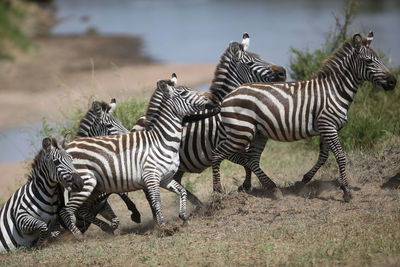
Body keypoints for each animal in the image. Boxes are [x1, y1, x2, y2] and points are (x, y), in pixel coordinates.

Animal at [59, 79, 216, 241]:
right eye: (184, 93)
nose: (210, 98)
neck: (161, 141)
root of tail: (67, 146)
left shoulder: (165, 179)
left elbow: (182, 191)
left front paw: (184, 217)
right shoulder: (151, 177)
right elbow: (157, 201)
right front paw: (163, 227)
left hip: (95, 188)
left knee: (81, 210)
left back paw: (107, 228)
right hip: (85, 184)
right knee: (66, 211)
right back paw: (79, 237)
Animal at [133, 33, 286, 205]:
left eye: (261, 57)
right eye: (251, 63)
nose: (283, 72)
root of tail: (138, 122)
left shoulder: (240, 142)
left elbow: (250, 163)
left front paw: (246, 186)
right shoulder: (225, 147)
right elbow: (247, 162)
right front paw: (254, 187)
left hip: (178, 166)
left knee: (177, 181)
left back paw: (197, 204)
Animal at [211, 31, 396, 202]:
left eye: (379, 59)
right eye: (369, 61)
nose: (393, 81)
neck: (335, 91)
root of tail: (228, 95)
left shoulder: (326, 128)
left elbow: (324, 157)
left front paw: (304, 180)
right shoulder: (328, 126)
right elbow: (341, 156)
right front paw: (346, 191)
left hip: (258, 133)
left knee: (252, 159)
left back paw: (272, 189)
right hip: (241, 132)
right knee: (217, 154)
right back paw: (218, 190)